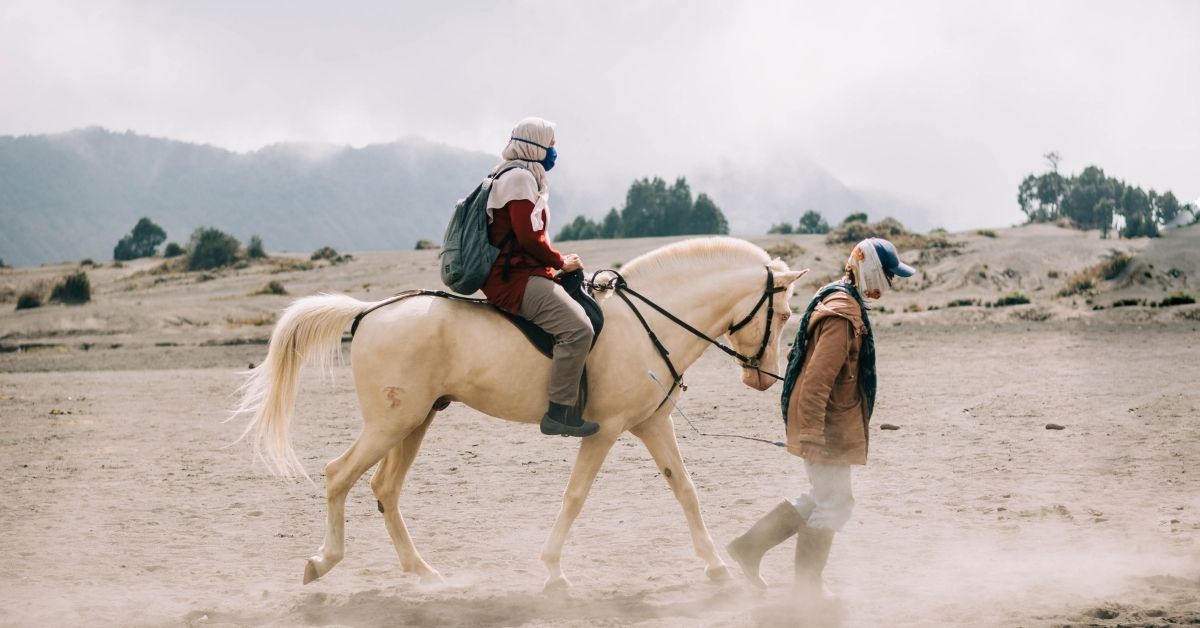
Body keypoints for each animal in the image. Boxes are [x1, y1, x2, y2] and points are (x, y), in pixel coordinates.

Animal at [232, 235, 806, 590]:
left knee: (383, 490)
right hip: (390, 424)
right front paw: (552, 571)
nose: (762, 378)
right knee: (339, 475)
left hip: (415, 422)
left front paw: (716, 567)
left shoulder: (651, 425)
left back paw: (422, 571)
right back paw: (323, 562)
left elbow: (686, 491)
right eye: (783, 314)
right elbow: (575, 497)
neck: (649, 322)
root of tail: (369, 311)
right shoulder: (604, 432)